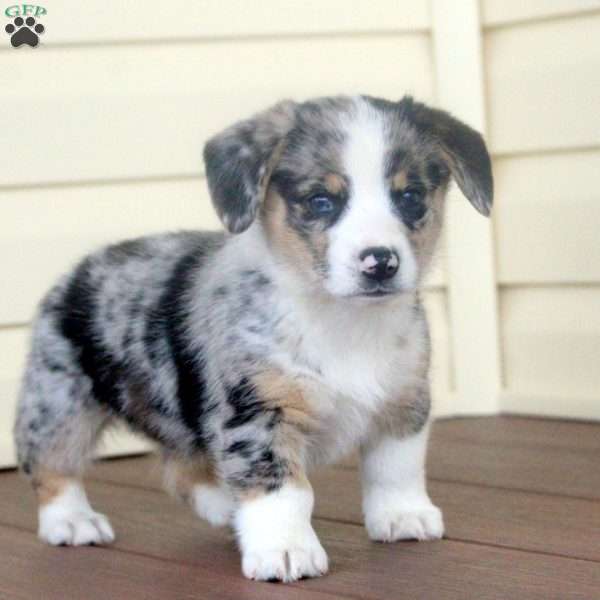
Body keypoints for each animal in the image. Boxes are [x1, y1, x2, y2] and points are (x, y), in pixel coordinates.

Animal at [14, 94, 492, 580]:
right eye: (321, 201)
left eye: (410, 197)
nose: (380, 262)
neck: (342, 322)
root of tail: (76, 272)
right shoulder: (258, 415)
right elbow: (284, 492)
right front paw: (285, 550)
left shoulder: (402, 403)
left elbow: (395, 469)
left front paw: (402, 516)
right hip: (60, 405)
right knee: (51, 465)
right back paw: (72, 521)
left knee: (181, 466)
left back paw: (223, 505)